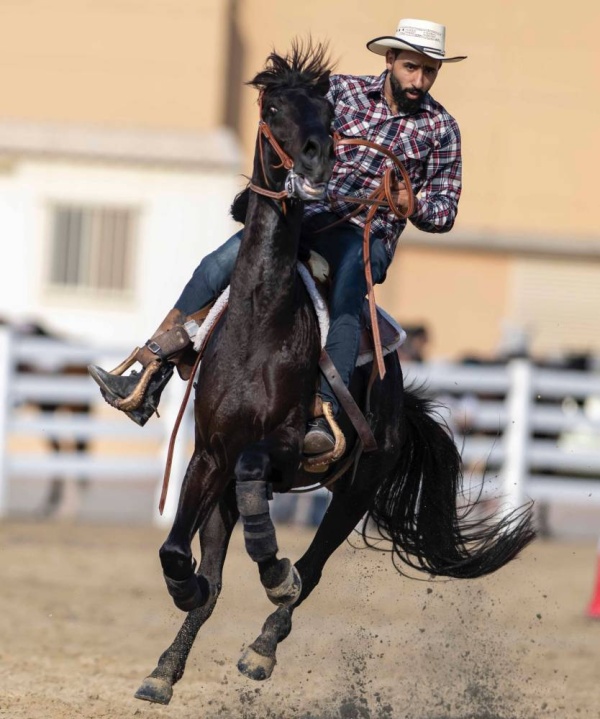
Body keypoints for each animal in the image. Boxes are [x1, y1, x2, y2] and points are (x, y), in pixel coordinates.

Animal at [132, 42, 536, 704]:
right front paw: (186, 596)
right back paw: (165, 669)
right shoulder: (208, 456)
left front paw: (273, 566)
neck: (261, 318)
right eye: (273, 107)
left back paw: (262, 647)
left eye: (326, 112)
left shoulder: (288, 450)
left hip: (357, 490)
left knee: (313, 569)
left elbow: (262, 491)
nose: (318, 158)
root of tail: (400, 405)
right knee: (217, 571)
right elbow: (176, 553)